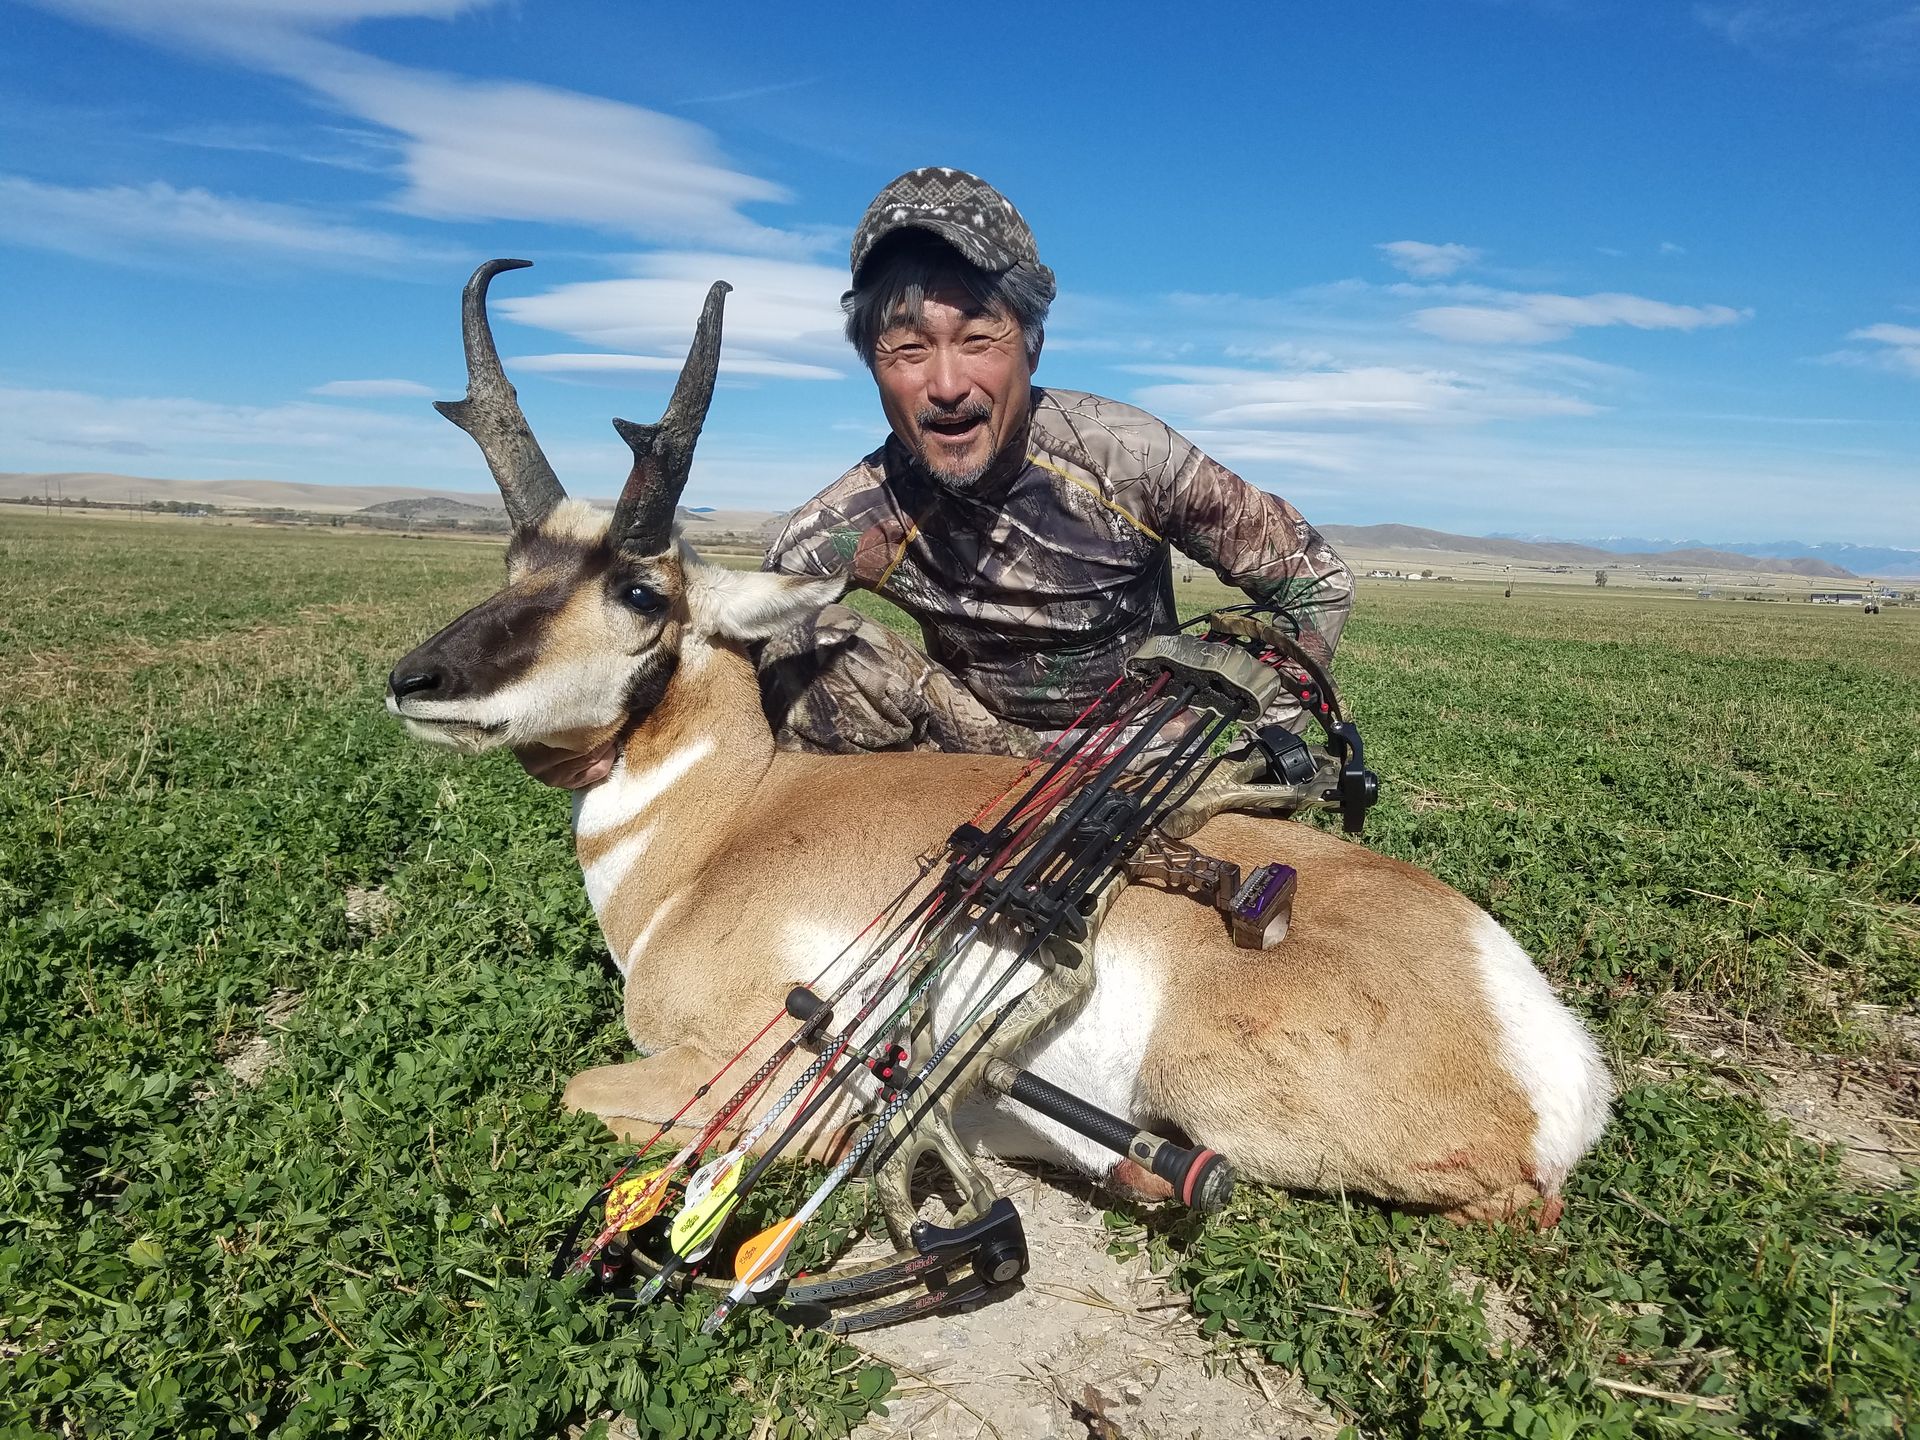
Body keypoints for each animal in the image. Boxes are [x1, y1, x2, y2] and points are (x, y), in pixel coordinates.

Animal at [387, 260, 1611, 1224]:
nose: (415, 682)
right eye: (515, 564)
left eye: (641, 590)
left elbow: (584, 1092)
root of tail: (1554, 1051)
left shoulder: (737, 1063)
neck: (718, 831)